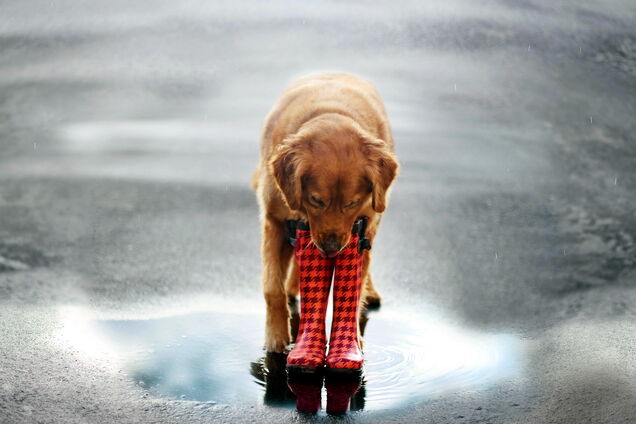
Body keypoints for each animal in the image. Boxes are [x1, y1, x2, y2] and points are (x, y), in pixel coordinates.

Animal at [252, 72, 398, 352]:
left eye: (352, 203)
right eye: (316, 200)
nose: (331, 249)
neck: (331, 113)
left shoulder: (364, 226)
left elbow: (354, 290)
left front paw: (352, 341)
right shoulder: (274, 221)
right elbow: (272, 287)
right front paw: (275, 338)